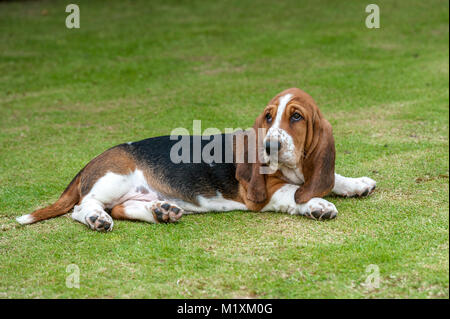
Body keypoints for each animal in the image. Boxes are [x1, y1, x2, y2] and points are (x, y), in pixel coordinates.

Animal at [16, 88, 376, 232]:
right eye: (268, 117)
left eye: (297, 117)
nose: (270, 146)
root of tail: (91, 162)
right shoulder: (265, 193)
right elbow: (294, 194)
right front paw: (318, 205)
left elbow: (331, 178)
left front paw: (357, 184)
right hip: (113, 178)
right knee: (83, 207)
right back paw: (96, 219)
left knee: (122, 208)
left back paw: (162, 211)